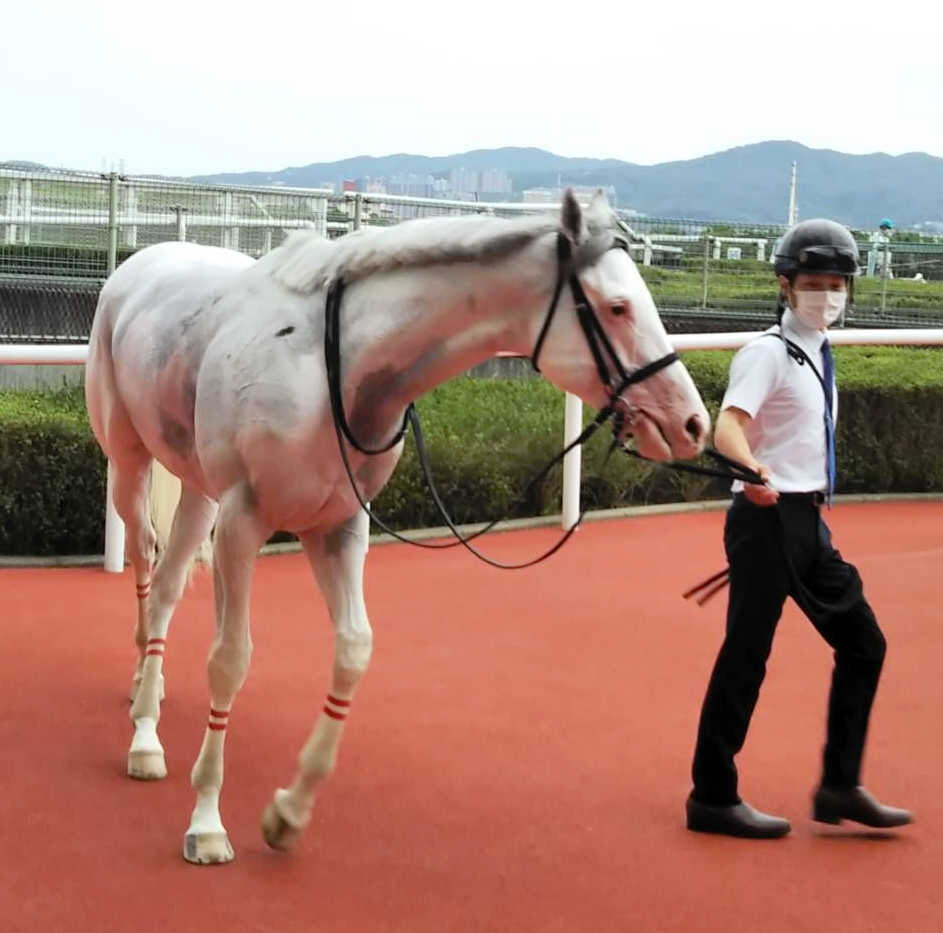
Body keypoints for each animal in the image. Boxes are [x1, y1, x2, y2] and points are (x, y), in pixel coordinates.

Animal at [86, 191, 708, 868]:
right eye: (618, 307)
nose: (693, 423)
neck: (330, 368)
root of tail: (141, 261)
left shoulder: (338, 524)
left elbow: (354, 650)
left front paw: (288, 813)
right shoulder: (244, 519)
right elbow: (230, 658)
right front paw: (205, 821)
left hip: (198, 484)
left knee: (170, 585)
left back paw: (149, 697)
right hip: (129, 457)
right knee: (147, 563)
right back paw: (144, 733)